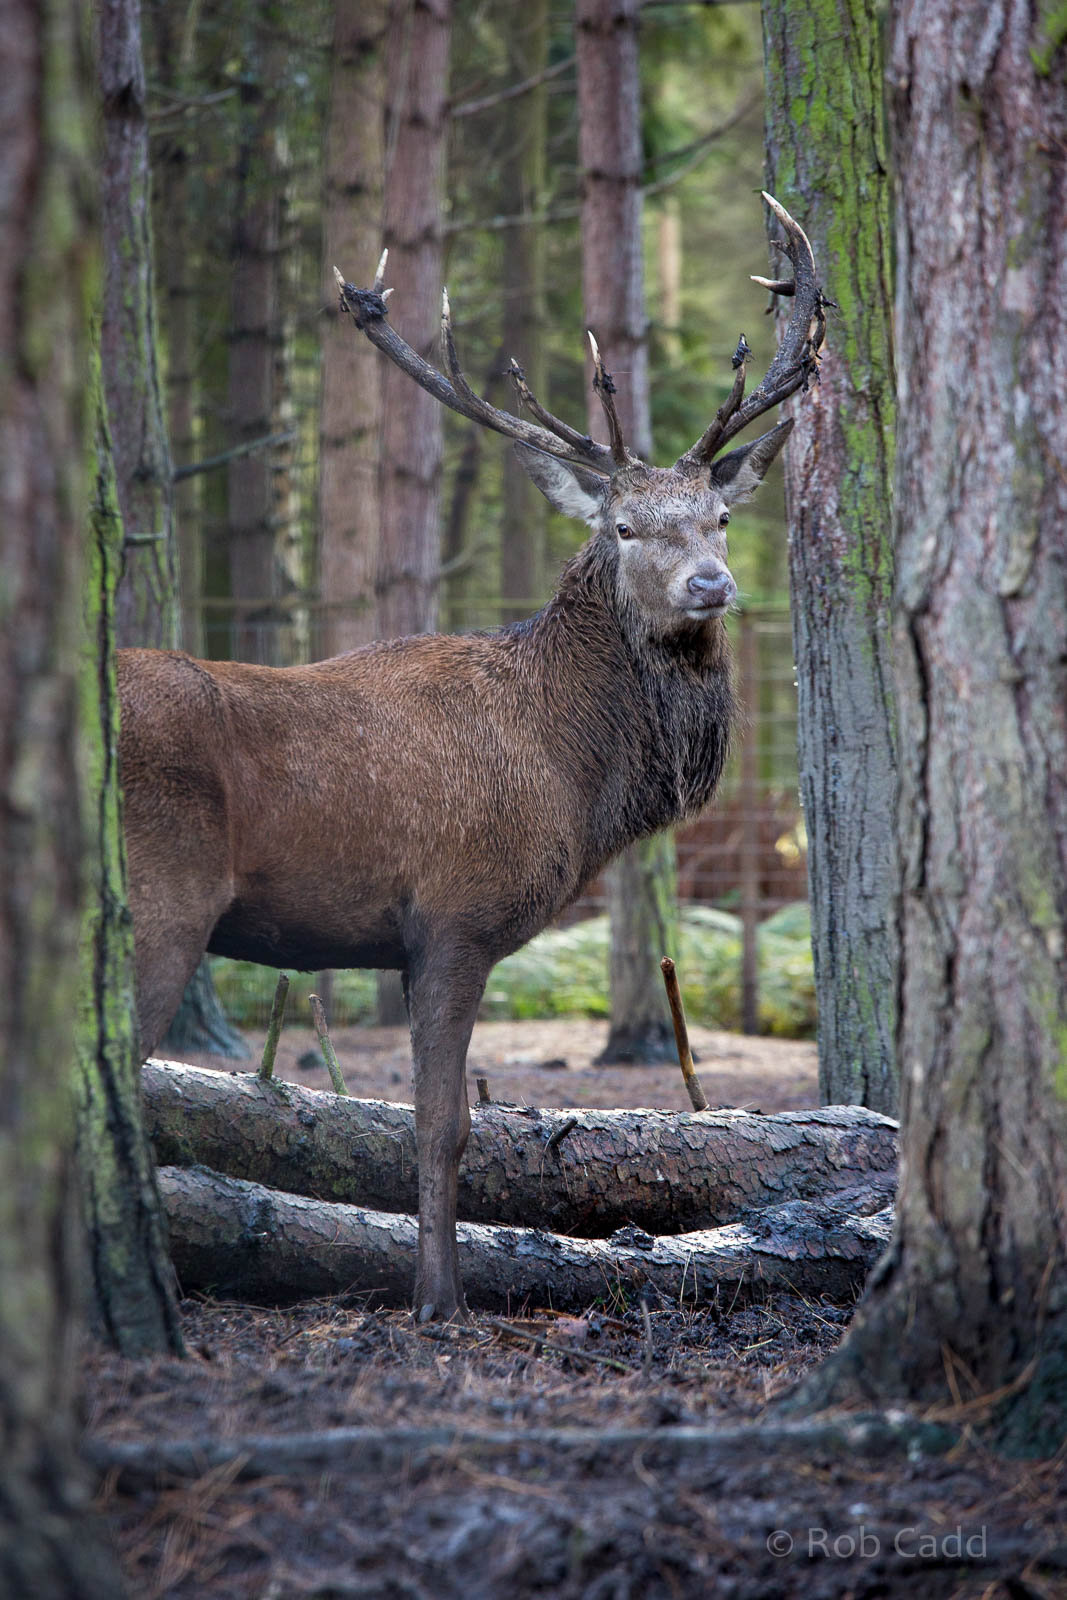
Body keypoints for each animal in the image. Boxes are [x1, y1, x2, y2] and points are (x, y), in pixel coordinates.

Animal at [118, 193, 824, 1322]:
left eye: (718, 516)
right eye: (624, 527)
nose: (712, 584)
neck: (573, 772)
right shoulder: (452, 917)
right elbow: (442, 1125)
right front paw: (437, 1301)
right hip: (162, 901)